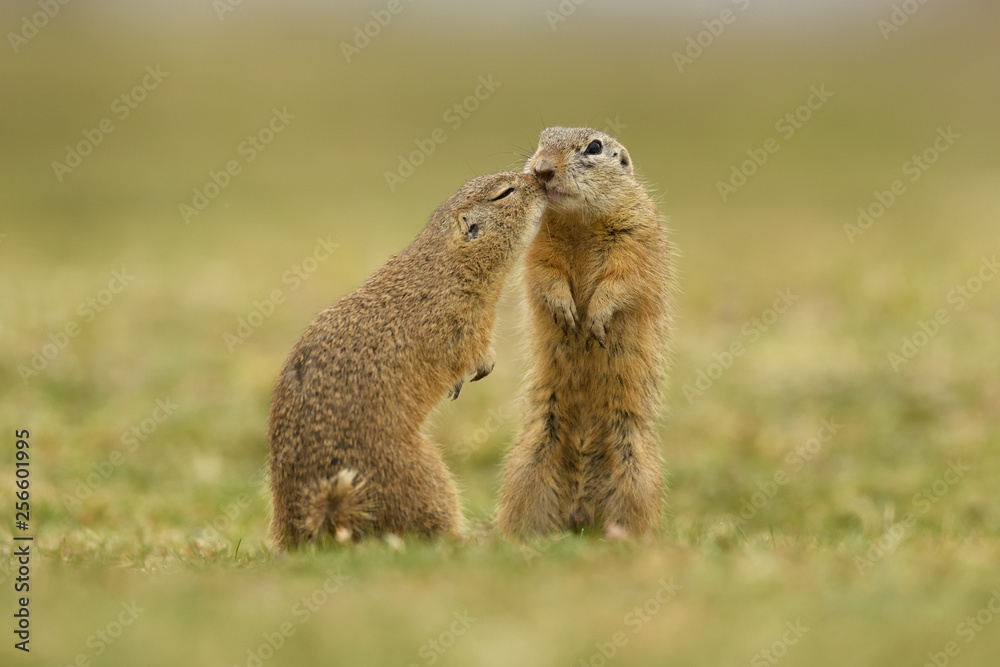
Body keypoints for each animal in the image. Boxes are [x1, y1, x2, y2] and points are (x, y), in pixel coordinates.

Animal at [268, 171, 545, 549]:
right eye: (504, 193)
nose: (541, 177)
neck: (446, 264)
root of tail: (323, 526)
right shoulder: (461, 321)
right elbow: (468, 350)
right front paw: (482, 367)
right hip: (427, 476)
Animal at [497, 127, 673, 539]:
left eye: (594, 148)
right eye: (542, 139)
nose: (542, 170)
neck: (579, 222)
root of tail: (580, 507)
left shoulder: (636, 237)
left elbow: (624, 278)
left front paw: (595, 318)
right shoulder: (540, 243)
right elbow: (543, 271)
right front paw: (565, 310)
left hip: (634, 469)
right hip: (528, 463)